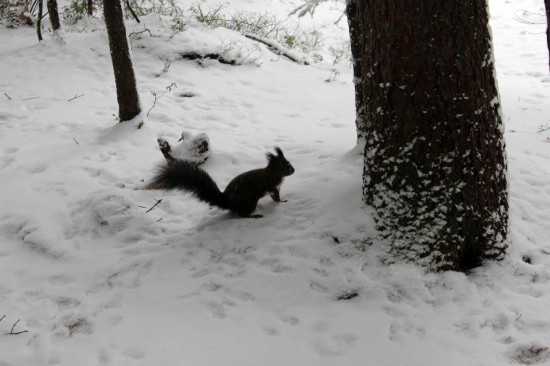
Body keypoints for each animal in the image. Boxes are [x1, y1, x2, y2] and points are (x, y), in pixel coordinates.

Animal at [146, 147, 294, 217]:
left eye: (289, 163)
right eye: (283, 167)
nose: (293, 170)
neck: (274, 173)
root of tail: (227, 201)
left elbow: (276, 196)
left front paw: (282, 201)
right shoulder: (267, 183)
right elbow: (272, 192)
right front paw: (281, 202)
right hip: (249, 200)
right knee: (241, 214)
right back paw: (254, 215)